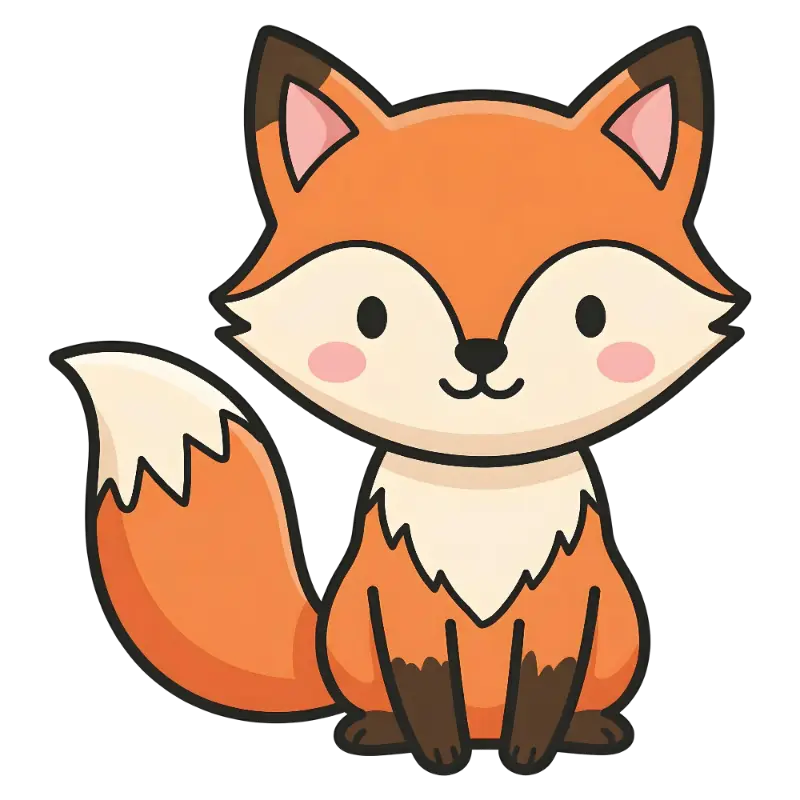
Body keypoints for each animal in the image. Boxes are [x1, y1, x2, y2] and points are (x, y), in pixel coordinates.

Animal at [53, 27, 746, 775]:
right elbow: (424, 689)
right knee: (383, 700)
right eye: (370, 315)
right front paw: (438, 756)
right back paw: (379, 732)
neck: (482, 501)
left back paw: (586, 731)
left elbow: (543, 689)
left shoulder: (560, 614)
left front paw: (529, 755)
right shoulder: (403, 612)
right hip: (354, 636)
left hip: (617, 635)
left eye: (592, 315)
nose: (481, 356)